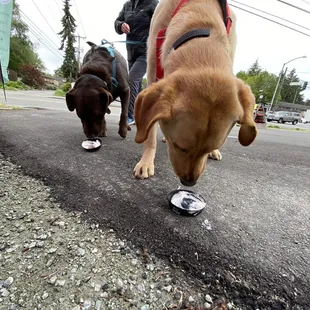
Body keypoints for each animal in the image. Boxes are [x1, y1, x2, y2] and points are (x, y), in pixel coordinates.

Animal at [133, 0, 256, 186]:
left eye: (207, 148)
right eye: (179, 146)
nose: (189, 182)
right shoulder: (153, 73)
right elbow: (150, 132)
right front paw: (146, 161)